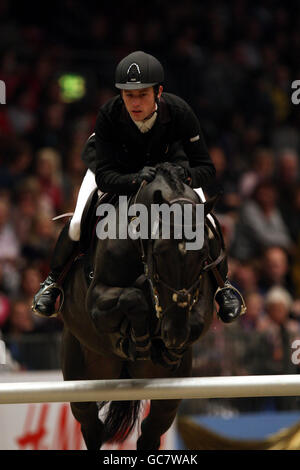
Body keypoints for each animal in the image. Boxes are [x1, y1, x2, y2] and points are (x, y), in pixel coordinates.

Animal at [59, 163, 219, 450]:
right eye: (160, 252)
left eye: (202, 255)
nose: (174, 334)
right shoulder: (96, 302)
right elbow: (132, 298)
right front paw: (140, 337)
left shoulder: (201, 303)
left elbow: (198, 320)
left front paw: (167, 348)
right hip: (81, 377)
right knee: (91, 425)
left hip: (167, 398)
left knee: (151, 432)